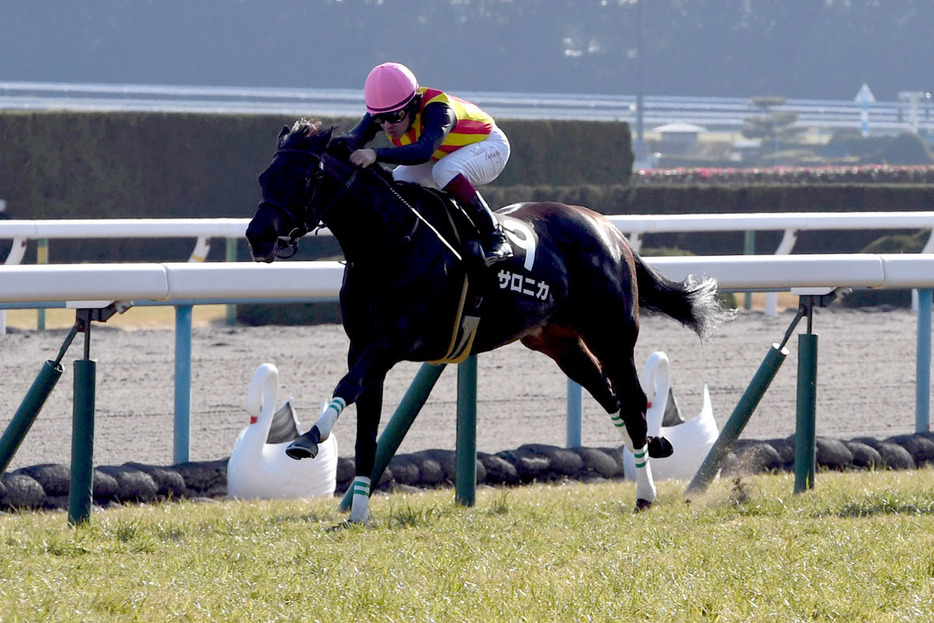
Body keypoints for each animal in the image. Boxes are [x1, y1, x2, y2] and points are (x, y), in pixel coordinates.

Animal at [247, 119, 732, 524]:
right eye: (264, 177)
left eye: (304, 179)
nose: (258, 236)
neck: (391, 243)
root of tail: (610, 231)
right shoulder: (362, 346)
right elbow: (366, 429)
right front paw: (359, 514)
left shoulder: (394, 342)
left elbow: (347, 386)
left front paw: (307, 440)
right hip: (559, 343)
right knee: (610, 398)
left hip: (612, 335)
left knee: (632, 403)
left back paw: (645, 495)